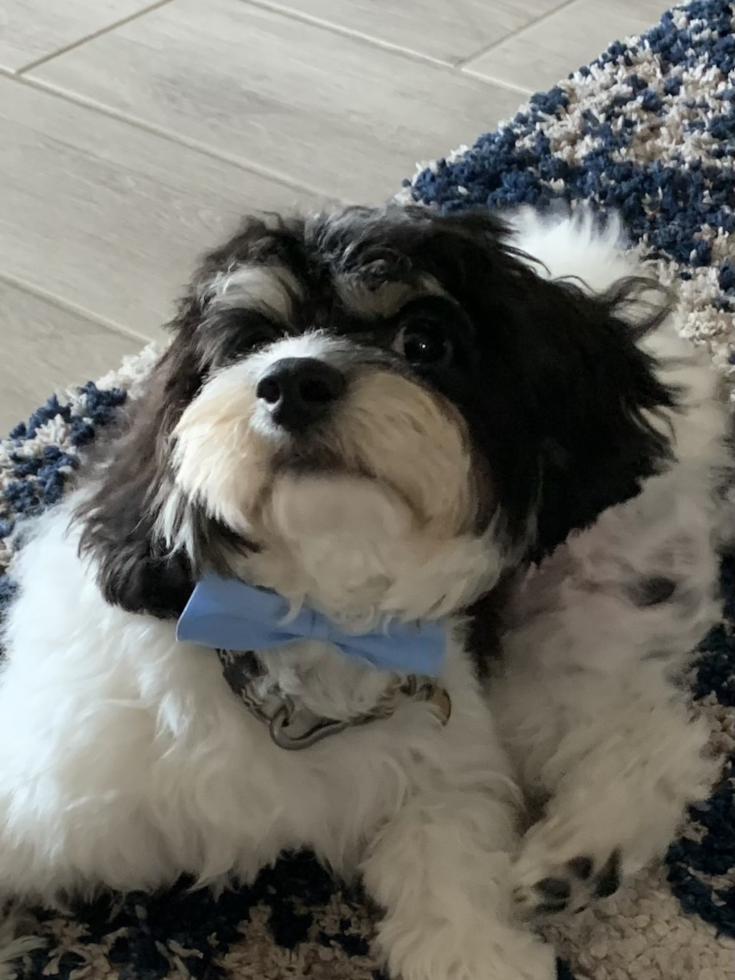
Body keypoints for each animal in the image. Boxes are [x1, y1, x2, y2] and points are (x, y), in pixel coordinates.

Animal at [0, 203, 732, 976]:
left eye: (424, 342)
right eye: (250, 343)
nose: (293, 380)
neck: (309, 623)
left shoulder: (446, 775)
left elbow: (449, 874)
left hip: (580, 609)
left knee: (651, 733)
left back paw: (583, 855)